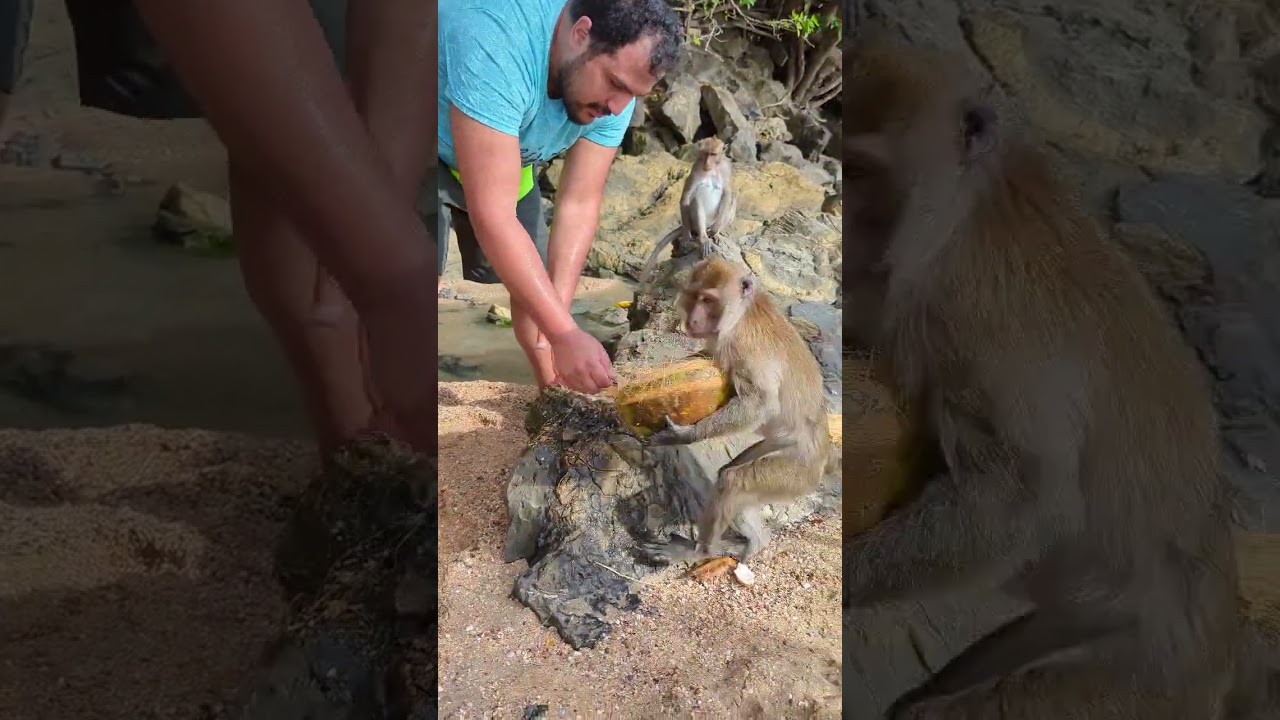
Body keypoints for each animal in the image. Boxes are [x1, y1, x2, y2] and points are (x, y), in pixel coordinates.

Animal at [634, 256, 832, 568]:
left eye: (708, 300)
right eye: (694, 296)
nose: (691, 320)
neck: (739, 315)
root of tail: (822, 453)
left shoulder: (745, 347)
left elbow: (760, 405)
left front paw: (683, 435)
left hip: (796, 469)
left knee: (734, 482)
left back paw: (700, 551)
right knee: (729, 473)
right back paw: (754, 542)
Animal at [636, 136, 737, 296]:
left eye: (713, 154)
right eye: (705, 154)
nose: (707, 163)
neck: (713, 168)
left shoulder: (726, 168)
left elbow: (727, 193)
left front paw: (717, 230)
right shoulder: (696, 167)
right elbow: (686, 198)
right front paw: (687, 235)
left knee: (733, 199)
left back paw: (715, 232)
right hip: (695, 222)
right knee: (697, 197)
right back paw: (702, 237)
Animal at [843, 40, 1247, 719]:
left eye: (862, 172)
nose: (847, 238)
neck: (960, 218)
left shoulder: (978, 322)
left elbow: (1024, 499)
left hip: (1138, 683)